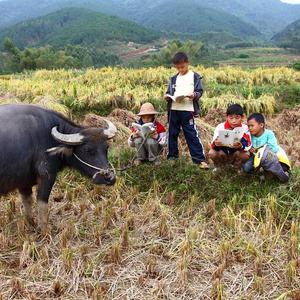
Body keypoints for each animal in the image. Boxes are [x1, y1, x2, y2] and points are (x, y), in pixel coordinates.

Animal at [0, 104, 117, 233]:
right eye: (88, 150)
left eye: (106, 147)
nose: (109, 178)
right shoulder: (47, 175)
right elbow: (42, 203)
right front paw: (45, 231)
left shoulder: (24, 182)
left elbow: (27, 203)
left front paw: (32, 225)